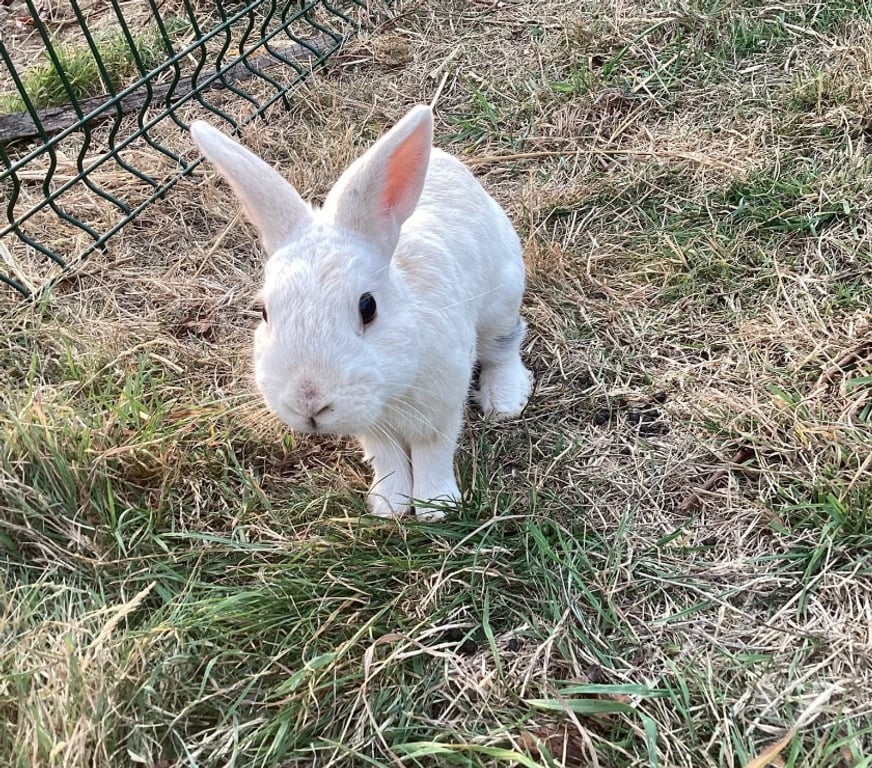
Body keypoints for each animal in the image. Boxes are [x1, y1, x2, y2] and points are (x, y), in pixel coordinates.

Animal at [190, 105, 532, 520]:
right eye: (265, 312)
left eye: (368, 307)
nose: (309, 402)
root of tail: (444, 161)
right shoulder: (374, 427)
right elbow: (387, 458)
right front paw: (389, 506)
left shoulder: (440, 405)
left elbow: (433, 452)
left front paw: (437, 507)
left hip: (503, 296)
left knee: (504, 346)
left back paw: (505, 400)